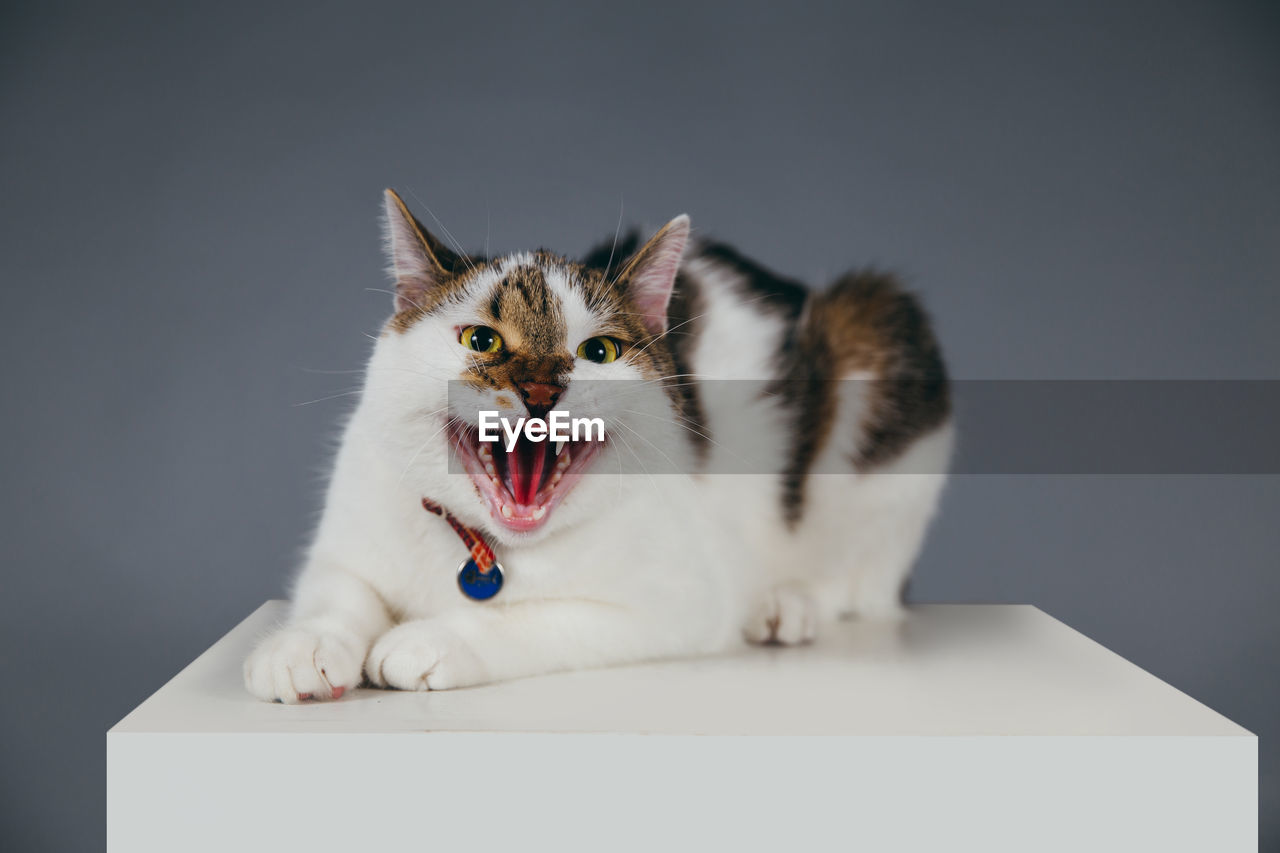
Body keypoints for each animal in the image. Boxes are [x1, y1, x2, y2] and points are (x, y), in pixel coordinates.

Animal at [241, 188, 952, 696]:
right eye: (481, 340)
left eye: (599, 352)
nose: (539, 392)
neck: (481, 547)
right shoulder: (349, 537)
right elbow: (338, 591)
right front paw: (303, 644)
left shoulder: (673, 605)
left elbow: (533, 618)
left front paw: (430, 640)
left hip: (878, 345)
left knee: (862, 583)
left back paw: (785, 606)